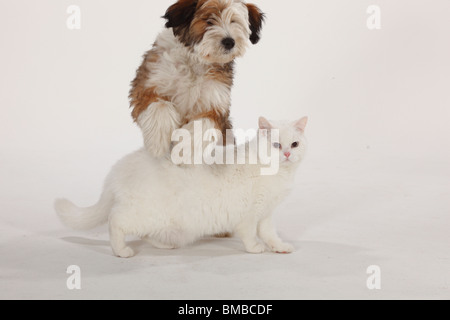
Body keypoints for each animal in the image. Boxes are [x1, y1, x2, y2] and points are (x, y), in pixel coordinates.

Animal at [54, 116, 308, 258]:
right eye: (276, 145)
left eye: (294, 144)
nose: (287, 153)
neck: (278, 173)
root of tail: (120, 167)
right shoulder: (248, 215)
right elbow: (249, 235)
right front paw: (255, 248)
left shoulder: (265, 214)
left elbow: (270, 234)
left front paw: (279, 247)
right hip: (143, 213)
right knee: (115, 221)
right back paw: (121, 251)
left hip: (161, 221)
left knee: (144, 233)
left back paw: (163, 245)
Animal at [129, 0, 264, 158]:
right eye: (209, 20)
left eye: (234, 21)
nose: (229, 42)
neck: (195, 60)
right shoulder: (146, 84)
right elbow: (160, 105)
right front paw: (158, 142)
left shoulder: (215, 105)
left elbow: (203, 125)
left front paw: (183, 150)